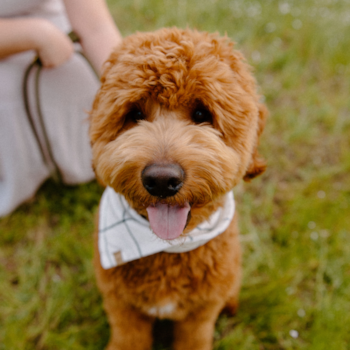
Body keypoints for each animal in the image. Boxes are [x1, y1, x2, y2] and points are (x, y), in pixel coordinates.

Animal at [89, 28, 266, 350]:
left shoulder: (201, 312)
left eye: (201, 114)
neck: (167, 249)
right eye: (134, 114)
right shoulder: (121, 306)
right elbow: (128, 338)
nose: (161, 179)